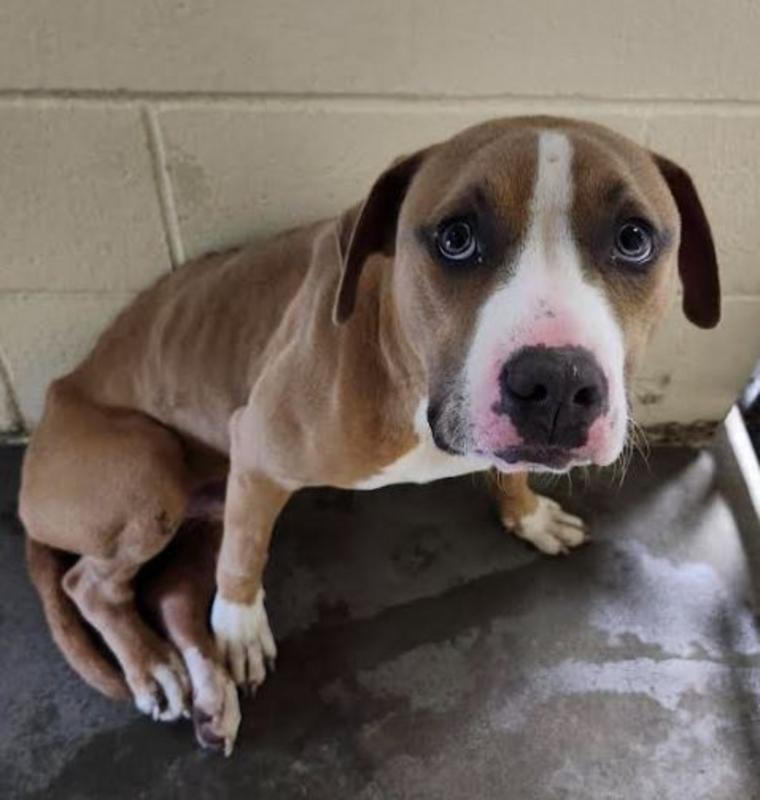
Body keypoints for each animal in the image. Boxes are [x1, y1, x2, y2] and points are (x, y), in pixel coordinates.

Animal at [19, 116, 720, 754]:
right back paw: (156, 668)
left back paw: (207, 691)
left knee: (172, 595)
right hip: (151, 469)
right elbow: (245, 557)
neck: (409, 375)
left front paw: (528, 514)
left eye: (633, 239)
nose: (555, 382)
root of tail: (61, 387)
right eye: (456, 238)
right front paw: (242, 625)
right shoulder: (256, 448)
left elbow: (511, 468)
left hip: (208, 503)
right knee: (91, 584)